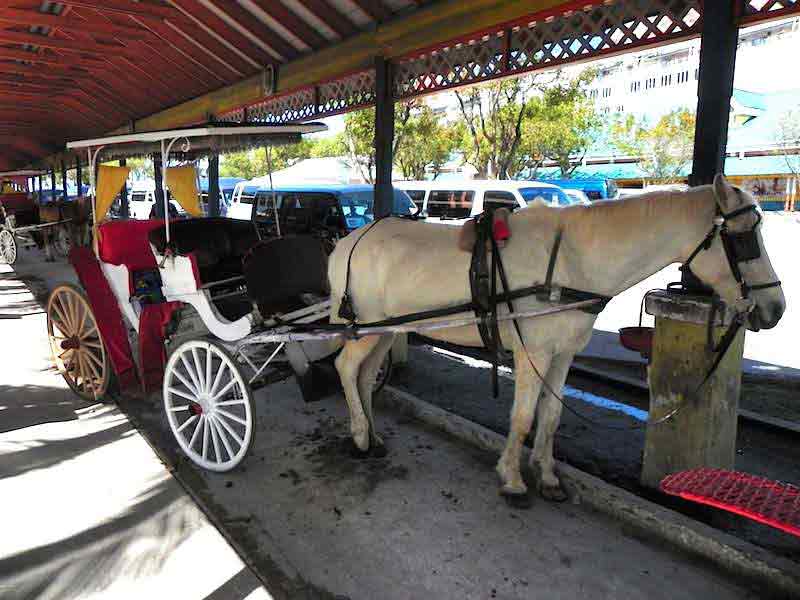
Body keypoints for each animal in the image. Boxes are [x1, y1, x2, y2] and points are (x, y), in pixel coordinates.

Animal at [328, 175, 784, 502]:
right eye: (744, 239)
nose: (776, 308)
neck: (571, 260)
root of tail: (349, 242)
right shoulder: (534, 353)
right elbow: (523, 417)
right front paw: (512, 478)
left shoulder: (563, 354)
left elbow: (550, 417)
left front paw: (546, 475)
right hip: (367, 328)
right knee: (346, 368)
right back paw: (359, 436)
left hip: (384, 330)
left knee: (364, 376)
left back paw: (372, 435)